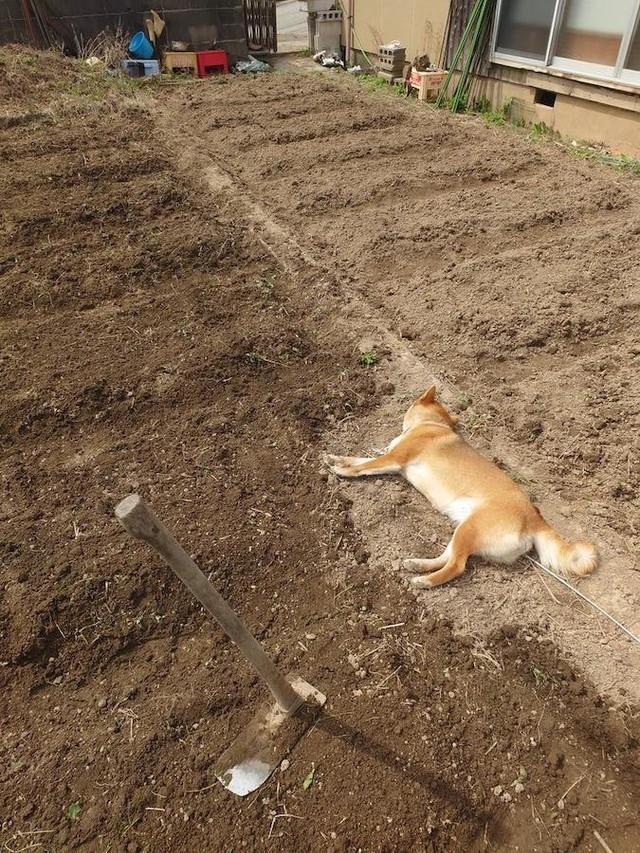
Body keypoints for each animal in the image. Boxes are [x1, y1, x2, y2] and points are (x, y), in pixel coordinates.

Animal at [324, 386, 600, 584]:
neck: (433, 424)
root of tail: (534, 517)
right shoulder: (392, 461)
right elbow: (359, 459)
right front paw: (334, 458)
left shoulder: (394, 459)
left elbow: (362, 466)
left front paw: (342, 470)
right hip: (463, 530)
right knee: (449, 557)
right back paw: (419, 565)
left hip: (470, 528)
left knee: (457, 566)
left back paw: (425, 580)